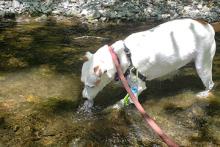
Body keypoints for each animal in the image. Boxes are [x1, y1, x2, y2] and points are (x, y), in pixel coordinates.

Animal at [81, 18, 220, 108]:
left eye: (91, 86)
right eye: (82, 83)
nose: (84, 97)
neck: (120, 56)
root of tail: (208, 26)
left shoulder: (138, 87)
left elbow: (123, 101)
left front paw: (115, 107)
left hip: (203, 66)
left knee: (210, 84)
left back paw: (203, 93)